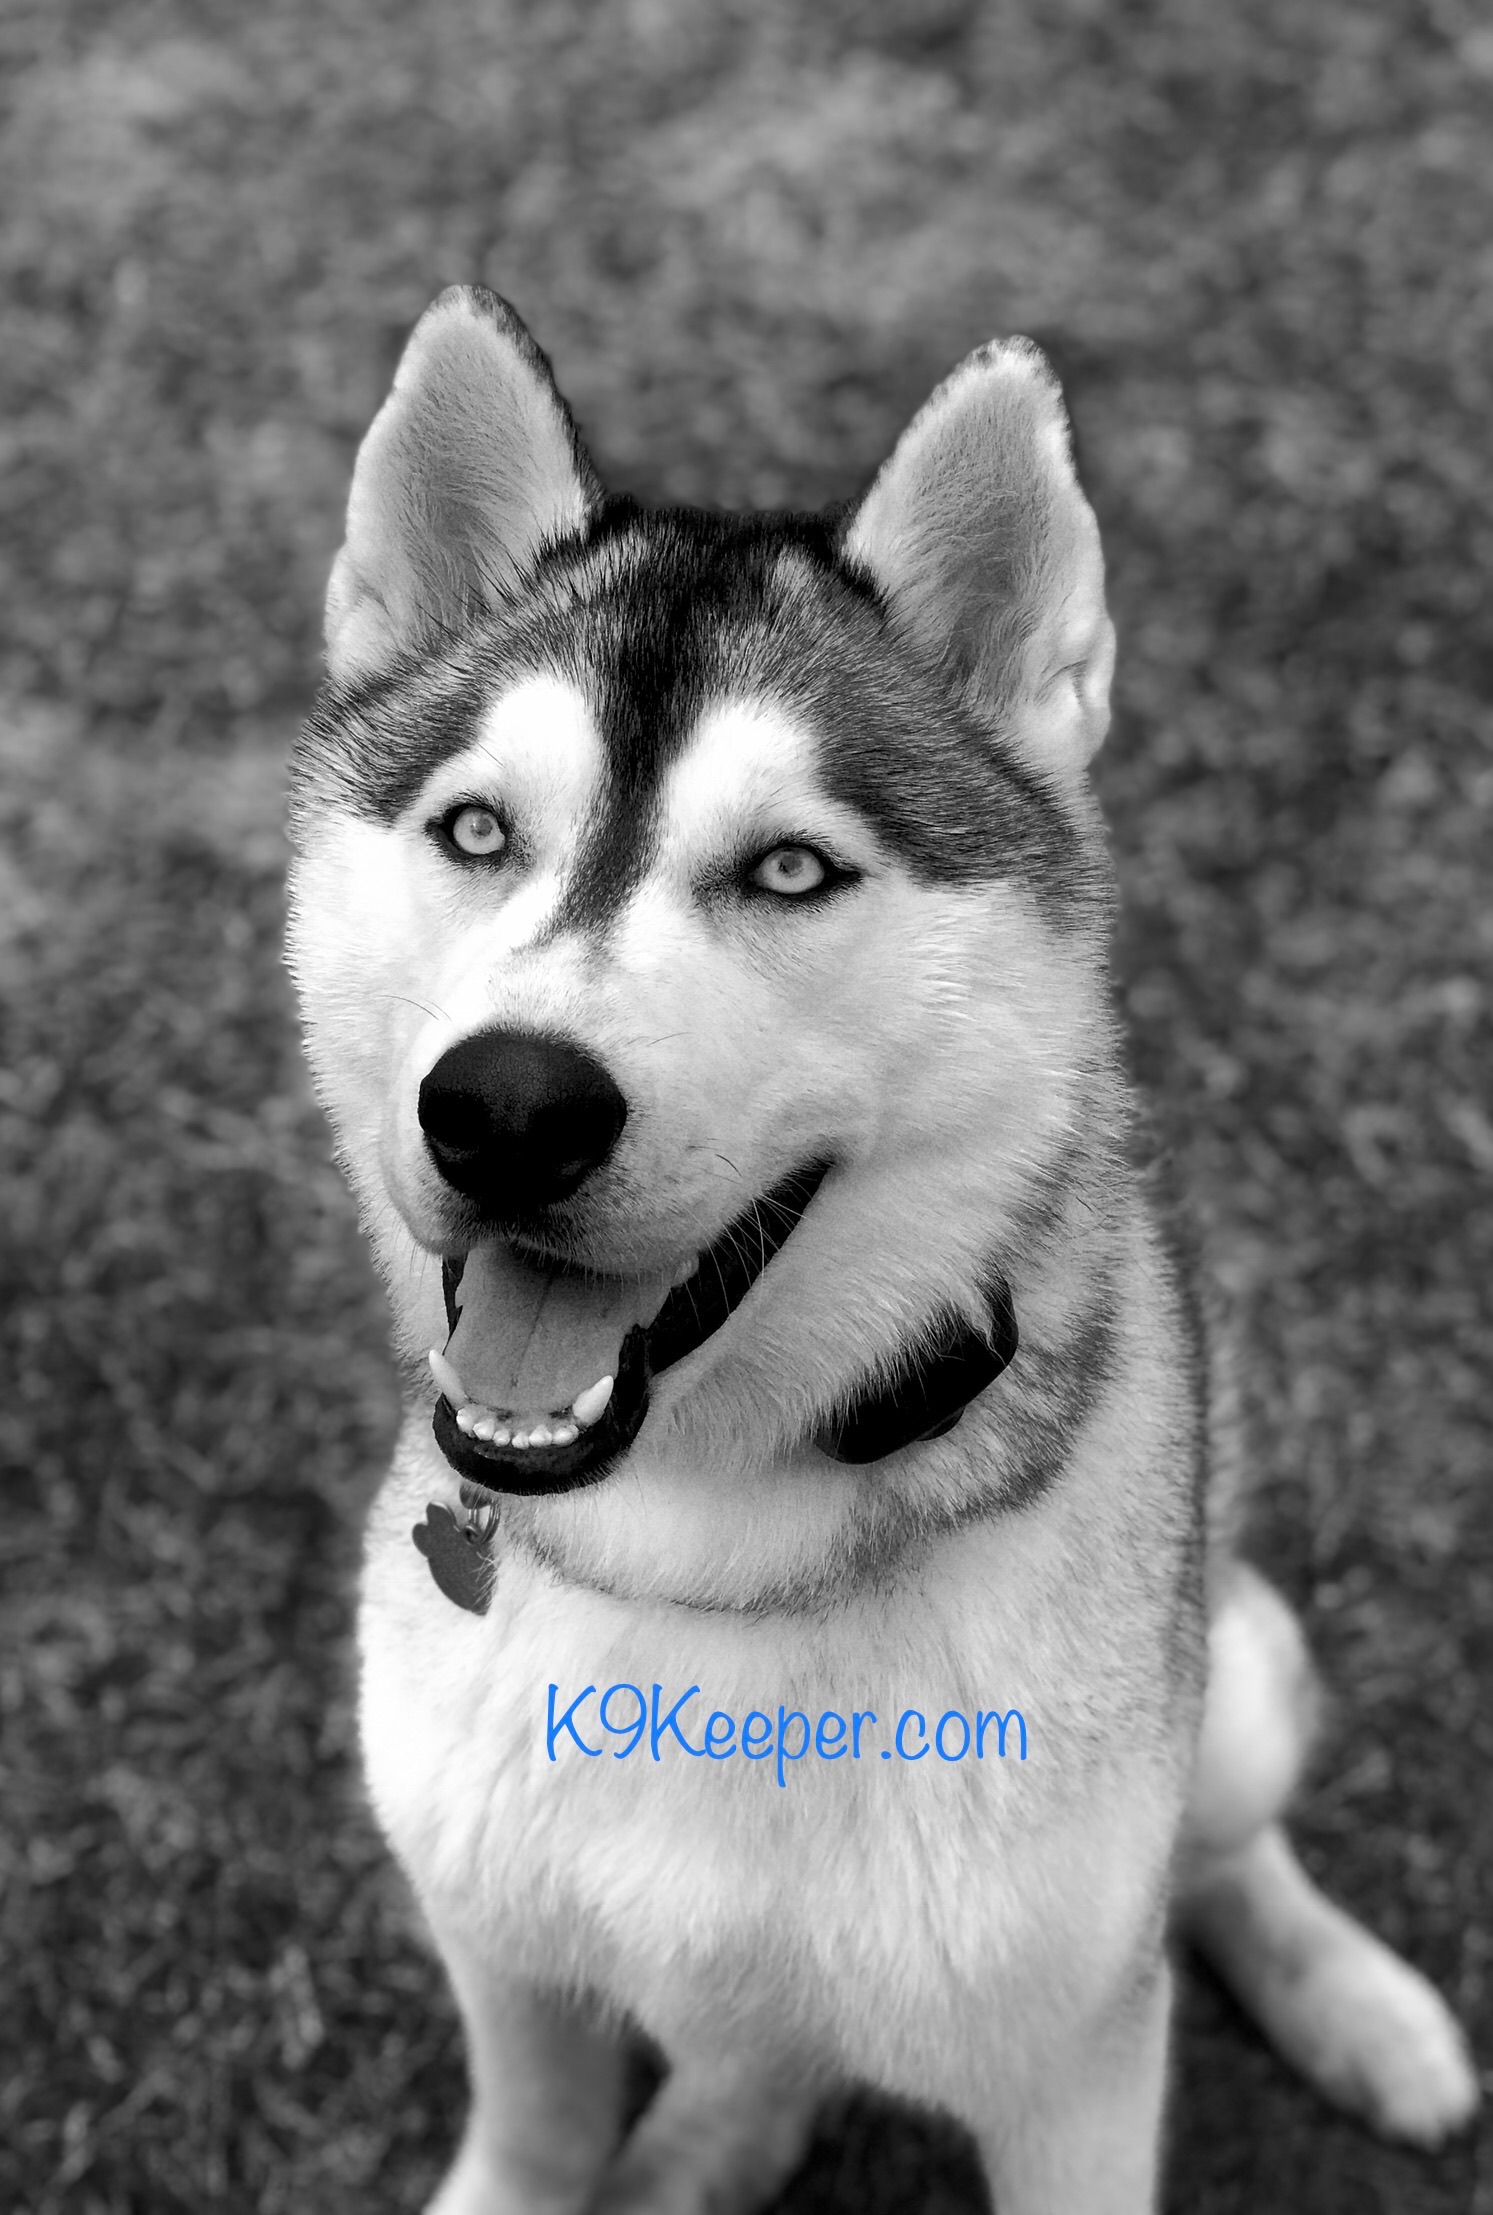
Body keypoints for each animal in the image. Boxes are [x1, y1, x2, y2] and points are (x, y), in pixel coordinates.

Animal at [286, 286, 1478, 2214]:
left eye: (787, 870)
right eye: (475, 828)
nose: (506, 1109)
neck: (704, 1547)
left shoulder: (1069, 2071)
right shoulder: (499, 1946)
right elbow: (532, 2135)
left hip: (1226, 1685)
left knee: (1220, 1858)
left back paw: (1350, 2001)